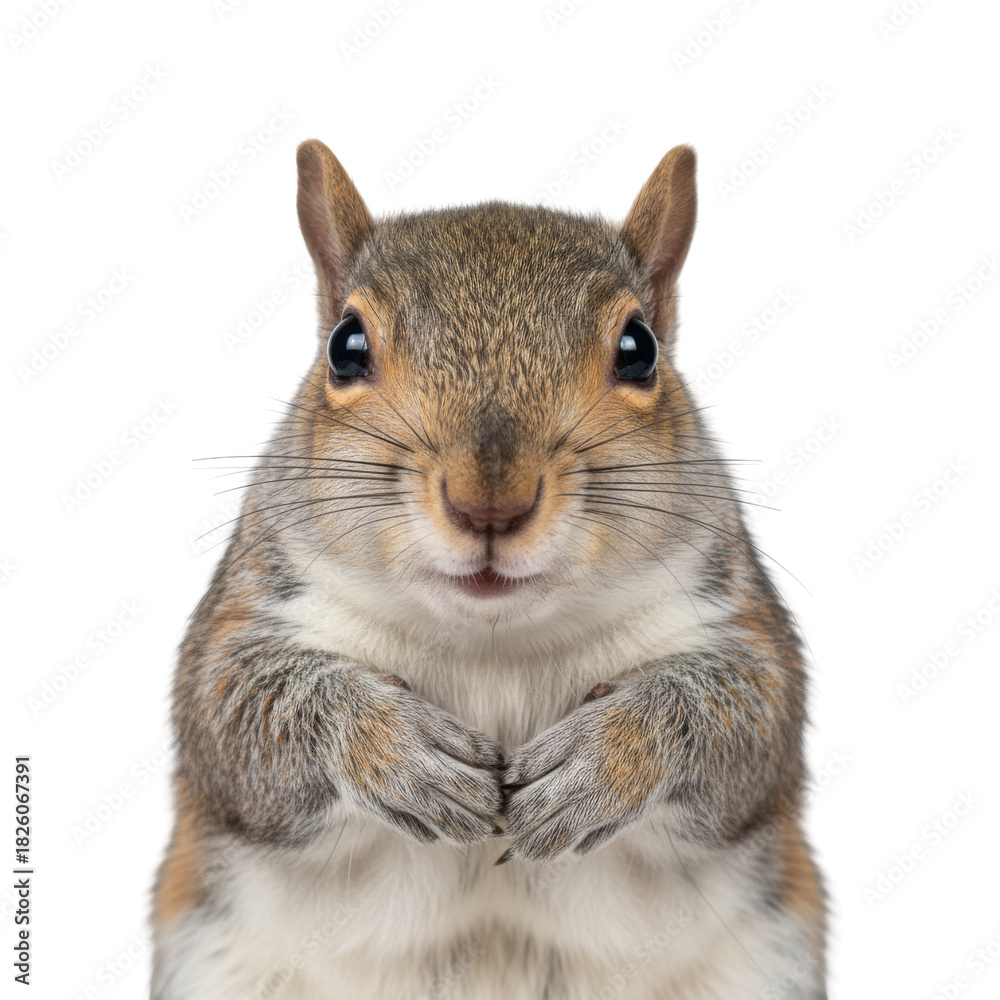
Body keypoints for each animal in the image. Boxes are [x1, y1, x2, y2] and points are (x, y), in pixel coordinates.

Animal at [152, 140, 827, 999]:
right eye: (346, 346)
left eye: (639, 350)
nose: (490, 503)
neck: (493, 638)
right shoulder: (250, 609)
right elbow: (234, 719)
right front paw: (399, 752)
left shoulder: (736, 615)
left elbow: (747, 723)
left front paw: (601, 761)